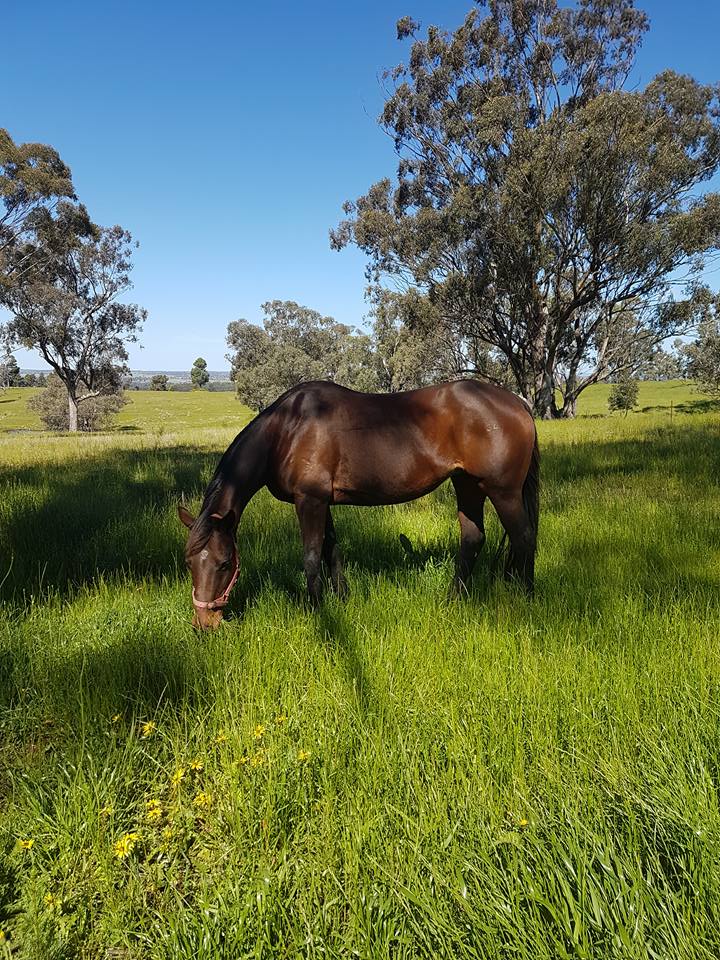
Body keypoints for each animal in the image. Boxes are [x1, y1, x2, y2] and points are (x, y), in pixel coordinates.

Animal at [180, 378, 540, 632]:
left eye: (225, 563)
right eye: (190, 563)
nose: (204, 625)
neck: (286, 430)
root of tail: (518, 403)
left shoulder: (309, 500)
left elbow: (312, 557)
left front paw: (316, 611)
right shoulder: (322, 502)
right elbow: (332, 551)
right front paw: (341, 599)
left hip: (503, 491)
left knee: (524, 538)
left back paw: (526, 599)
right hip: (467, 486)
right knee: (473, 539)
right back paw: (454, 600)